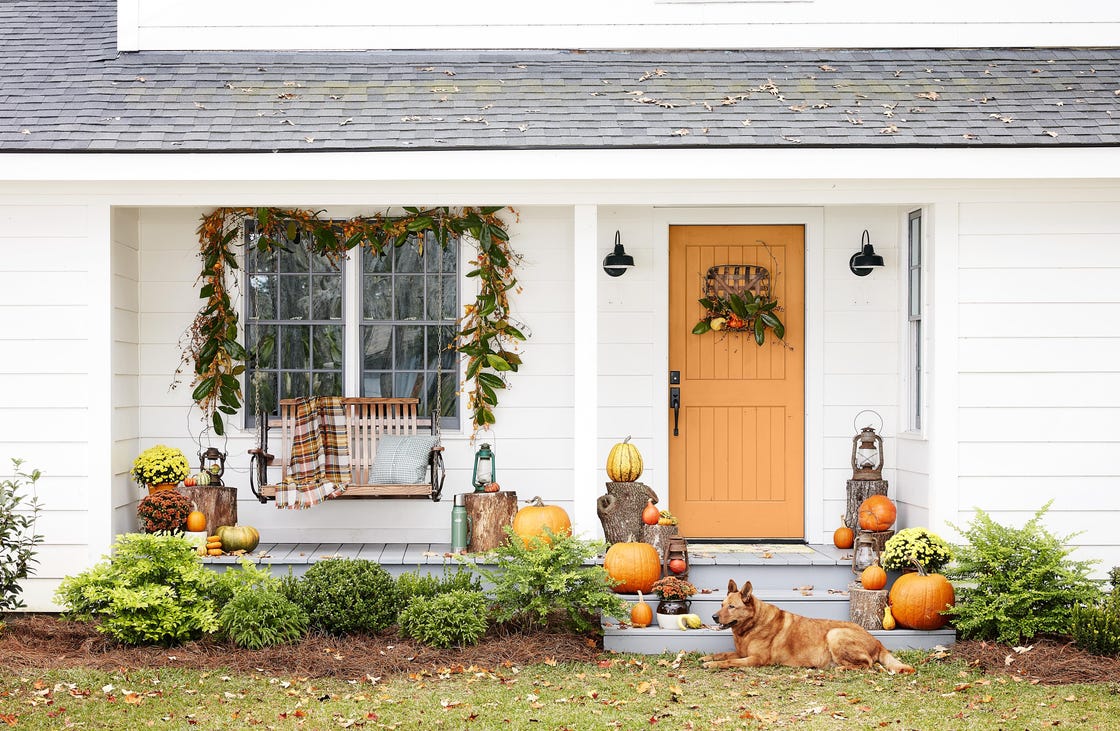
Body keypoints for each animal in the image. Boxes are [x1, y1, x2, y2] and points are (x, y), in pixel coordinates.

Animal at [703, 577, 913, 671]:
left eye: (732, 607)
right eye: (721, 605)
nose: (713, 617)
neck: (750, 627)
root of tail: (877, 641)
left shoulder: (756, 659)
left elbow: (729, 661)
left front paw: (713, 664)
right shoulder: (742, 652)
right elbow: (723, 654)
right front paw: (708, 658)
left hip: (835, 634)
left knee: (867, 664)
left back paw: (840, 668)